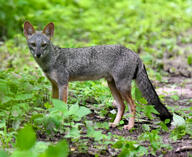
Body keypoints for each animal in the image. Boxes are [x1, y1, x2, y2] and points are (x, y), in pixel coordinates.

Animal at [23, 21, 172, 130]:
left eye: (44, 45)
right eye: (33, 44)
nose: (38, 54)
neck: (51, 61)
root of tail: (135, 53)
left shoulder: (63, 84)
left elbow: (62, 105)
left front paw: (61, 119)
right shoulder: (54, 85)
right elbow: (54, 105)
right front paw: (51, 118)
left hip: (122, 86)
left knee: (133, 105)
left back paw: (129, 126)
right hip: (112, 85)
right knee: (122, 106)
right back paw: (115, 124)